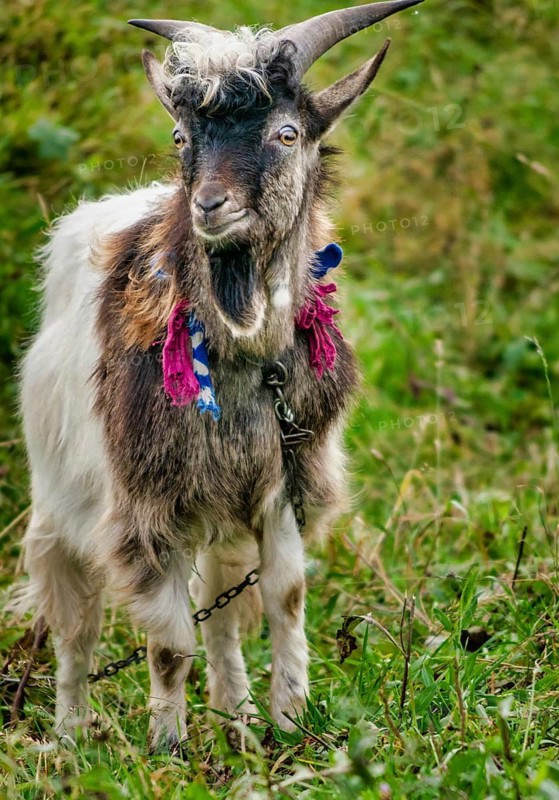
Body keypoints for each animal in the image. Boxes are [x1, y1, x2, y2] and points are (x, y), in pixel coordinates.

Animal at [15, 0, 423, 753]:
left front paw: (291, 719)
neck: (247, 363)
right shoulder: (148, 508)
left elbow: (283, 597)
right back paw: (71, 732)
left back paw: (236, 715)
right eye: (182, 135)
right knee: (74, 624)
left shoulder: (279, 487)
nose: (209, 206)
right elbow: (168, 644)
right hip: (61, 499)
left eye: (286, 133)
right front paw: (167, 748)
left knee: (222, 609)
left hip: (221, 513)